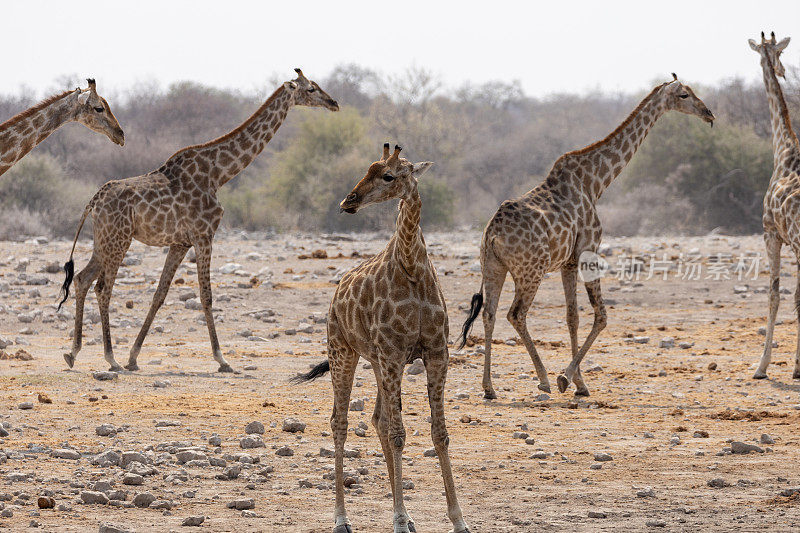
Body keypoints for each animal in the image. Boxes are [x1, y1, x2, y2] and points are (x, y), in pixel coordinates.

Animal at [58, 68, 338, 372]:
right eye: (311, 89)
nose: (334, 102)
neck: (219, 173)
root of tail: (93, 201)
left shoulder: (180, 242)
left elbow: (160, 294)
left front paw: (134, 356)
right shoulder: (204, 235)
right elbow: (206, 296)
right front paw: (222, 359)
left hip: (105, 240)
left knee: (82, 279)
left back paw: (73, 353)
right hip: (119, 240)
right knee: (103, 288)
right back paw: (110, 357)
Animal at [292, 142, 468, 532]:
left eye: (388, 175)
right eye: (366, 170)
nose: (349, 201)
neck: (413, 269)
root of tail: (336, 293)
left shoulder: (434, 352)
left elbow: (439, 433)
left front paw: (458, 520)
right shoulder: (392, 353)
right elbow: (400, 434)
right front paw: (398, 520)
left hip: (377, 362)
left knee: (378, 421)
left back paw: (407, 515)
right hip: (344, 351)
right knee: (340, 423)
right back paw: (342, 519)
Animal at [460, 72, 716, 396]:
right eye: (684, 95)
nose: (709, 114)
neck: (596, 182)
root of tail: (492, 234)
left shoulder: (567, 263)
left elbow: (573, 317)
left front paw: (580, 383)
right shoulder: (588, 250)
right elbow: (601, 316)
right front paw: (565, 378)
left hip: (493, 267)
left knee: (489, 314)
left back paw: (489, 387)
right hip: (530, 271)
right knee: (515, 314)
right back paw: (543, 379)